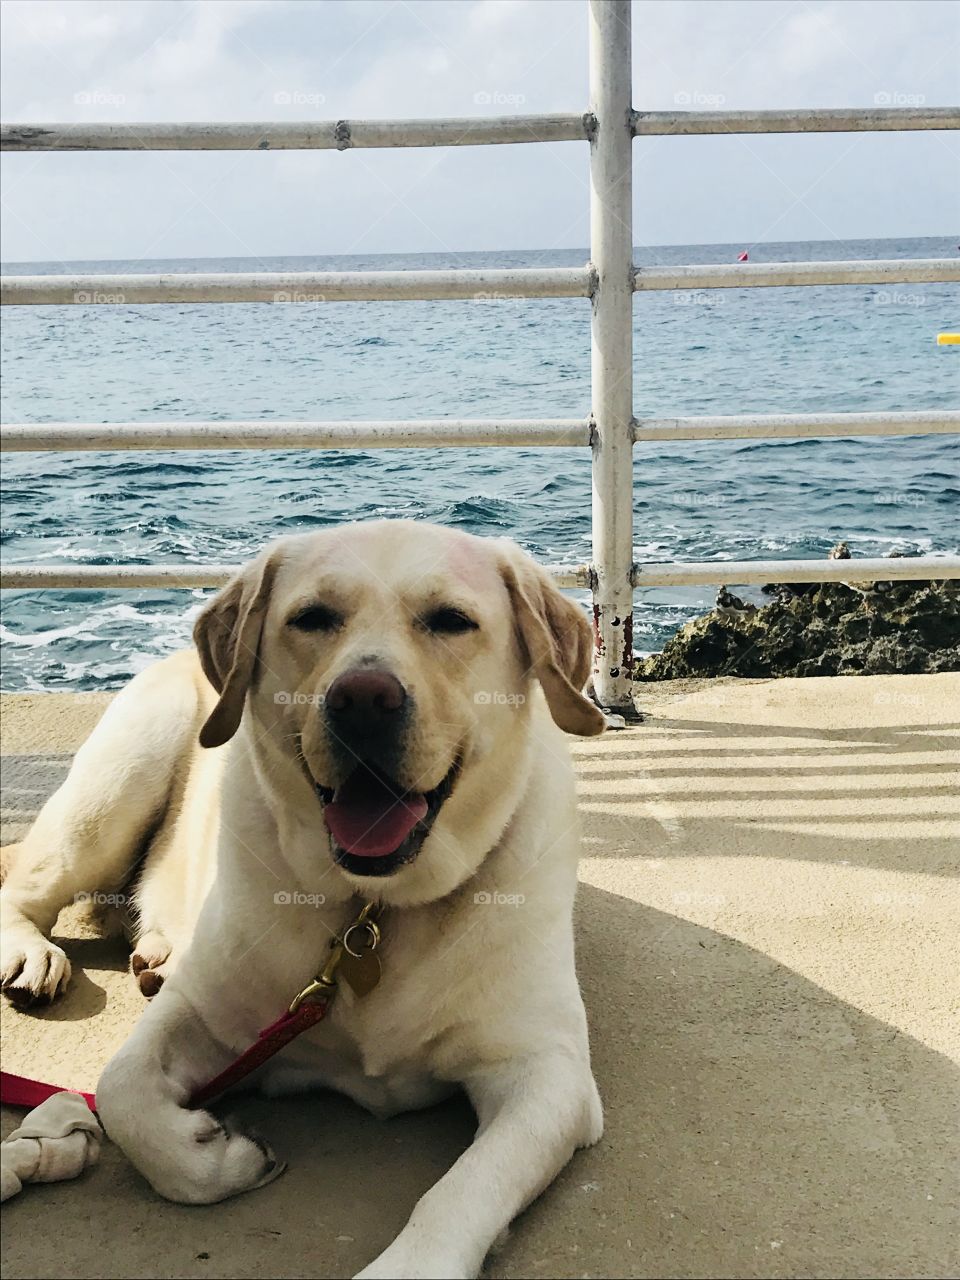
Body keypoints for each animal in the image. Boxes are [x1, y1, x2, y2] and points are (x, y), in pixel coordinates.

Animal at [0, 519, 604, 1280]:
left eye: (451, 621)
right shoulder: (208, 1013)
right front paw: (219, 1157)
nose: (364, 700)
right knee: (28, 886)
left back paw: (155, 953)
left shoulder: (547, 1073)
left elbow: (465, 1187)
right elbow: (121, 1090)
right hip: (118, 782)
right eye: (312, 618)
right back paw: (34, 954)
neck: (372, 911)